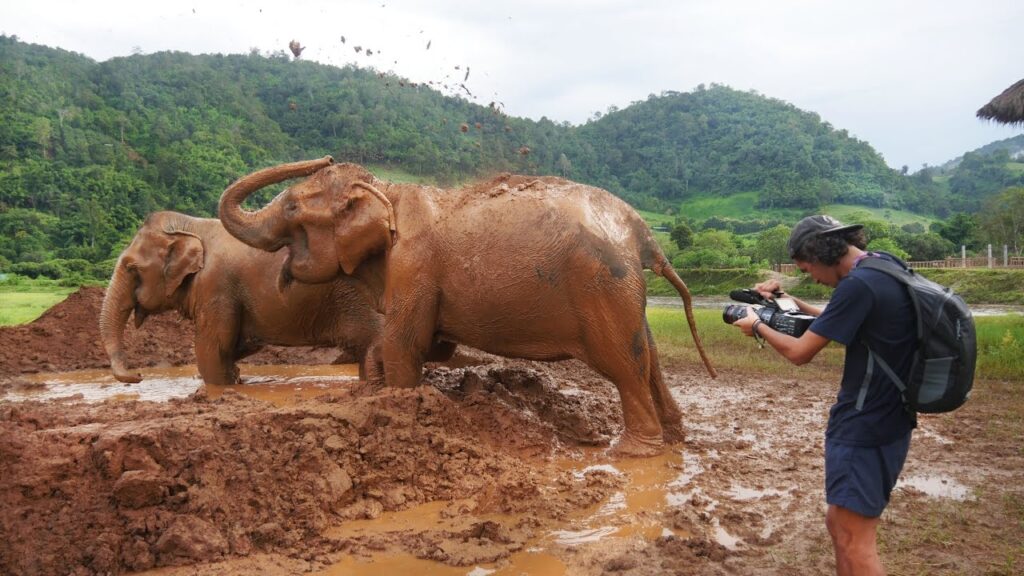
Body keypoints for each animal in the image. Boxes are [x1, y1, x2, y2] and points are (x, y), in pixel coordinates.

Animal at [99, 210, 390, 385]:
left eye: (131, 269)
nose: (138, 375)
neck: (192, 225)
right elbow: (235, 345)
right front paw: (237, 377)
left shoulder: (215, 286)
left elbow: (212, 350)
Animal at [218, 157, 716, 455]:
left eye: (292, 208)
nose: (324, 157)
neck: (388, 192)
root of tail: (641, 231)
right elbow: (421, 345)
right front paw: (372, 389)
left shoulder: (414, 265)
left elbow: (406, 344)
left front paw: (401, 404)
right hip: (624, 293)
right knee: (649, 360)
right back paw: (674, 439)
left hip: (602, 288)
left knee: (624, 367)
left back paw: (632, 453)